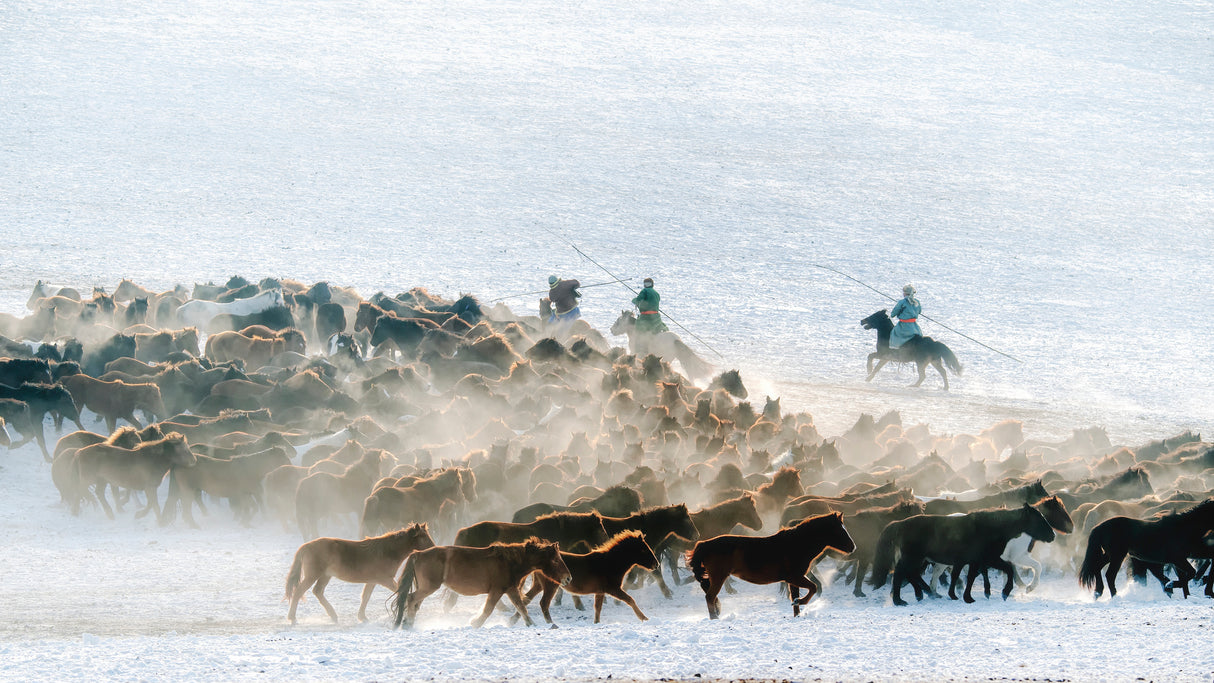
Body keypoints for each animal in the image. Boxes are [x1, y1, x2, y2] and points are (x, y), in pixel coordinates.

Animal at [284, 523, 435, 624]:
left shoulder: (372, 581)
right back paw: (292, 618)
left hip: (325, 576)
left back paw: (333, 615)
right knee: (298, 592)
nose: (434, 549)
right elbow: (403, 593)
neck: (387, 551)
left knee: (318, 591)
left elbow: (365, 597)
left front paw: (362, 617)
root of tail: (306, 546)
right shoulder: (385, 580)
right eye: (423, 537)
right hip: (313, 576)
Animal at [391, 539, 572, 629]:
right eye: (556, 560)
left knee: (414, 603)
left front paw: (530, 623)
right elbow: (488, 609)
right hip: (428, 587)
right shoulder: (497, 591)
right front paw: (475, 623)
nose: (568, 578)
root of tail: (418, 554)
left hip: (425, 588)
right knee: (411, 599)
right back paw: (407, 624)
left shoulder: (510, 589)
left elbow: (521, 607)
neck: (509, 561)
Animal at [688, 512, 854, 618]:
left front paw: (797, 612)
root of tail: (704, 544)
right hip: (719, 576)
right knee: (710, 597)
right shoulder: (794, 576)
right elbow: (812, 588)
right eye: (839, 530)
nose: (853, 547)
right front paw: (800, 601)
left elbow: (796, 597)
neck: (797, 544)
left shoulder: (793, 580)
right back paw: (714, 618)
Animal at [868, 504, 1056, 605]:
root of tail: (900, 524)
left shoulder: (976, 561)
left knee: (911, 574)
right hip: (914, 558)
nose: (1053, 535)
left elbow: (971, 576)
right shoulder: (990, 559)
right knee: (901, 573)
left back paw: (925, 594)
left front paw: (966, 596)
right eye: (1039, 518)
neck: (991, 529)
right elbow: (1007, 570)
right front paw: (1005, 592)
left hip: (919, 559)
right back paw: (900, 600)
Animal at [1079, 498, 1214, 599]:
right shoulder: (1177, 559)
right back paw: (1115, 596)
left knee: (1097, 567)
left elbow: (1187, 576)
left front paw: (1172, 588)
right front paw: (1170, 585)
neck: (1183, 528)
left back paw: (1098, 593)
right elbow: (1191, 573)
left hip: (1110, 555)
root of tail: (1099, 527)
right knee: (1110, 575)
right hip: (1117, 556)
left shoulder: (1178, 560)